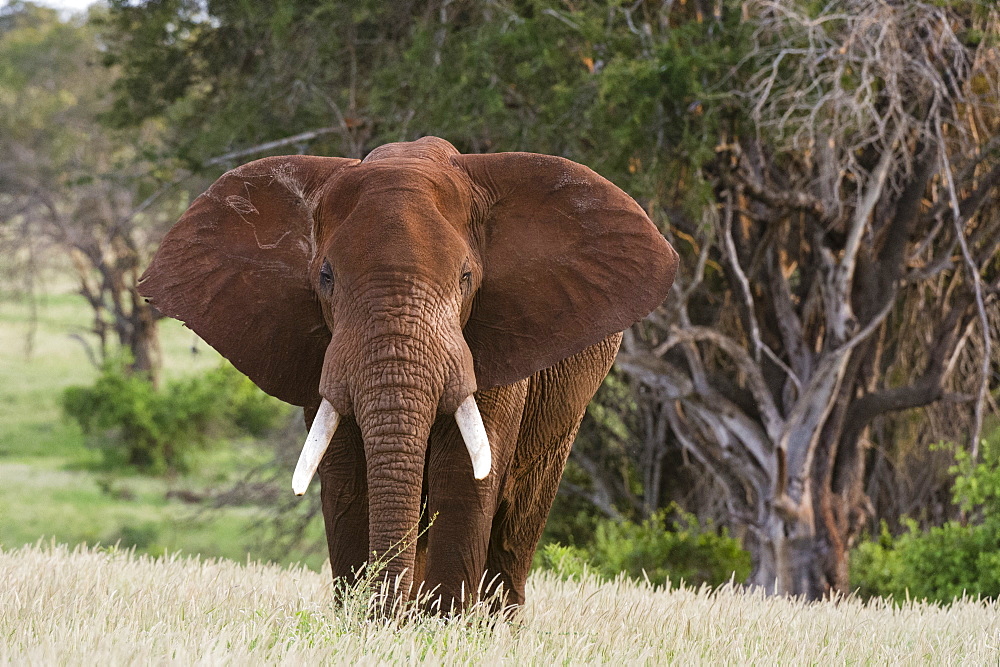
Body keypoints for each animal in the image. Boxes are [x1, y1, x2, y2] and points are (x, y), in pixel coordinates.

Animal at [137, 137, 676, 616]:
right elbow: (346, 473)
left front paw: (443, 629)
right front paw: (367, 624)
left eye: (466, 278)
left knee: (520, 515)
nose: (386, 612)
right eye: (325, 277)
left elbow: (464, 475)